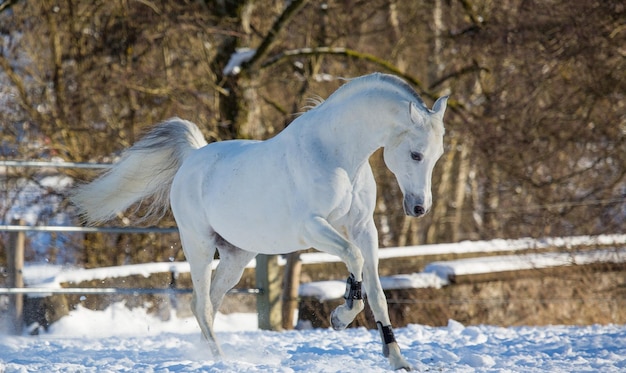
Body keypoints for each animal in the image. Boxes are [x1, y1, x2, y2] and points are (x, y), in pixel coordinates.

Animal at [72, 72, 444, 370]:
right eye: (416, 154)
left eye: (437, 155)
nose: (419, 208)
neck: (335, 155)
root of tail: (193, 157)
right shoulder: (313, 228)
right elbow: (353, 259)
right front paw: (340, 317)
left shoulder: (364, 229)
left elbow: (378, 293)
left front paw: (397, 359)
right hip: (199, 246)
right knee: (201, 304)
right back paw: (220, 360)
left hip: (236, 257)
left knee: (208, 304)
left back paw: (214, 356)